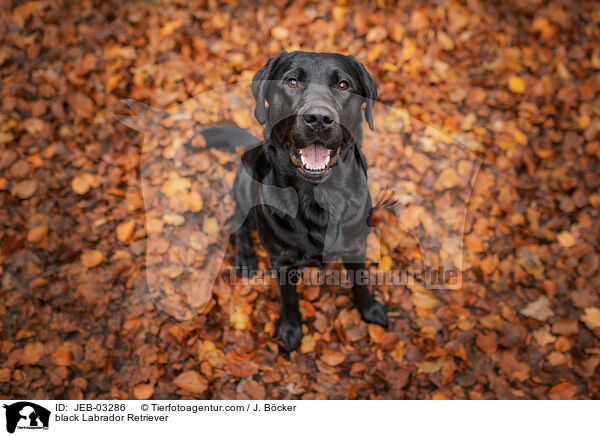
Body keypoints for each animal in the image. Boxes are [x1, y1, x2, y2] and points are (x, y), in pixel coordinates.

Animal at [203, 51, 390, 350]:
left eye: (343, 85)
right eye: (292, 82)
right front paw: (290, 329)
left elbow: (360, 283)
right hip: (244, 192)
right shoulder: (282, 262)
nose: (318, 118)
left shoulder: (355, 247)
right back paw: (245, 257)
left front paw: (370, 309)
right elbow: (289, 300)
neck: (317, 197)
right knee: (237, 223)